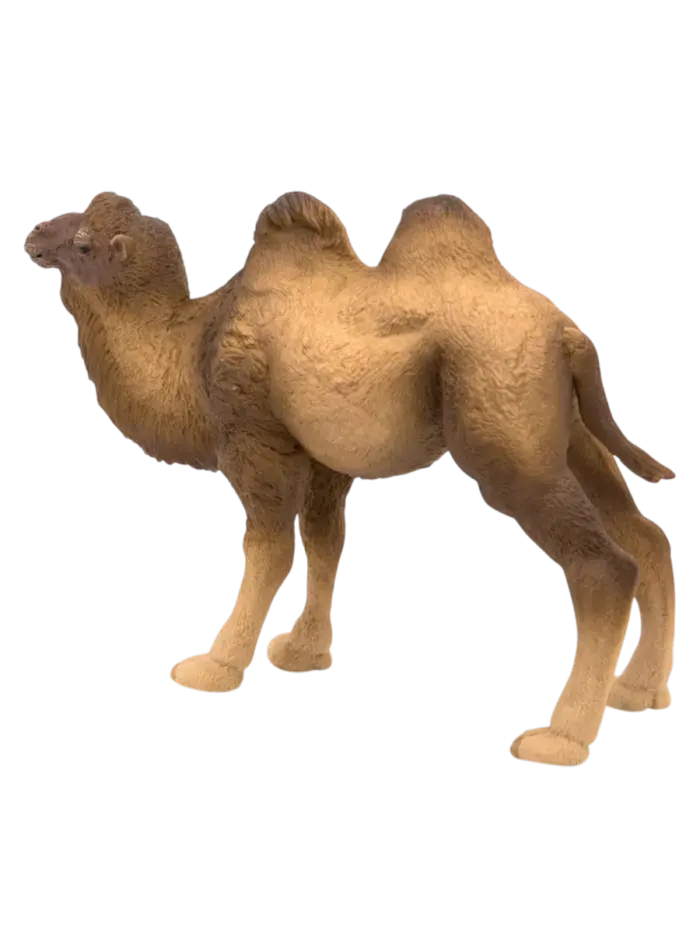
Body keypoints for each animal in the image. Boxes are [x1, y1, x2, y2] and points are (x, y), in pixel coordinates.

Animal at [23, 189, 677, 766]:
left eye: (82, 244)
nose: (32, 235)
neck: (187, 345)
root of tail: (570, 335)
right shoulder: (322, 461)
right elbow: (324, 540)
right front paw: (302, 651)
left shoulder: (253, 439)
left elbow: (269, 551)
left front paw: (212, 666)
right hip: (570, 434)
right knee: (646, 535)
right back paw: (638, 690)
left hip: (508, 434)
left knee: (606, 566)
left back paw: (559, 739)